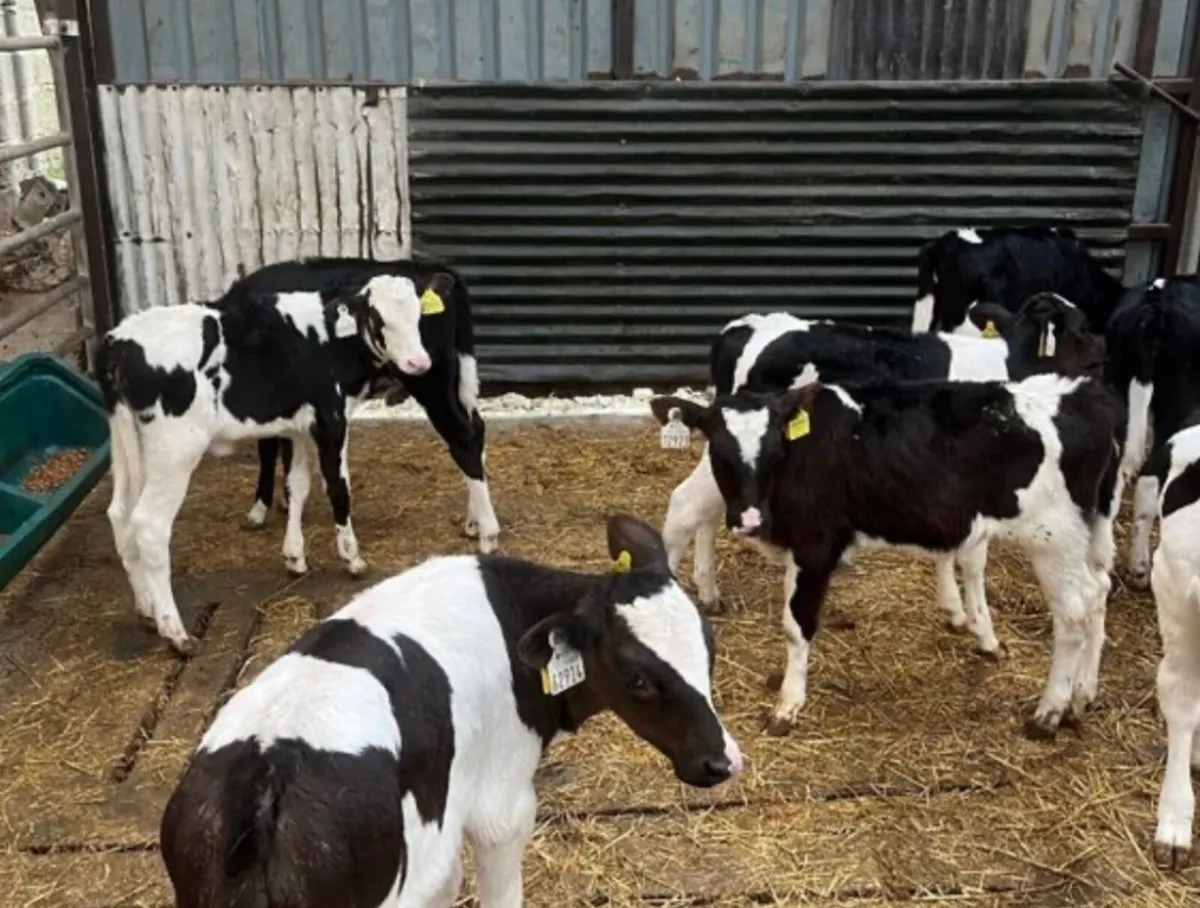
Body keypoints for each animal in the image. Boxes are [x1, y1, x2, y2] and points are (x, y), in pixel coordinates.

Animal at [97, 275, 434, 654]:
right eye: (378, 318)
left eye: (418, 314)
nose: (419, 362)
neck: (332, 339)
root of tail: (119, 340)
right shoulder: (331, 418)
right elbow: (338, 488)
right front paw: (352, 558)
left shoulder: (299, 426)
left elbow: (297, 485)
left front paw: (295, 557)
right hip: (175, 450)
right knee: (149, 525)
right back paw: (175, 631)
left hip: (125, 443)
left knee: (119, 514)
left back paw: (146, 609)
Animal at [159, 514, 743, 908]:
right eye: (637, 678)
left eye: (709, 649)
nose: (722, 761)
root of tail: (266, 768)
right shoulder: (501, 807)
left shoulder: (437, 840)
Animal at [217, 255, 499, 555]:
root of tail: (428, 267)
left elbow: (268, 449)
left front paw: (259, 509)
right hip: (456, 378)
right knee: (477, 428)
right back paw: (473, 522)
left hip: (431, 382)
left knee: (463, 439)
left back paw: (488, 534)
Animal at [650, 372, 1125, 740]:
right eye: (718, 451)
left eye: (772, 449)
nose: (749, 518)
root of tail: (1086, 395)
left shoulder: (816, 544)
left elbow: (797, 625)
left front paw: (787, 707)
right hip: (1087, 533)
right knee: (1098, 592)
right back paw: (1082, 696)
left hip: (1053, 538)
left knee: (1073, 617)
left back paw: (1049, 712)